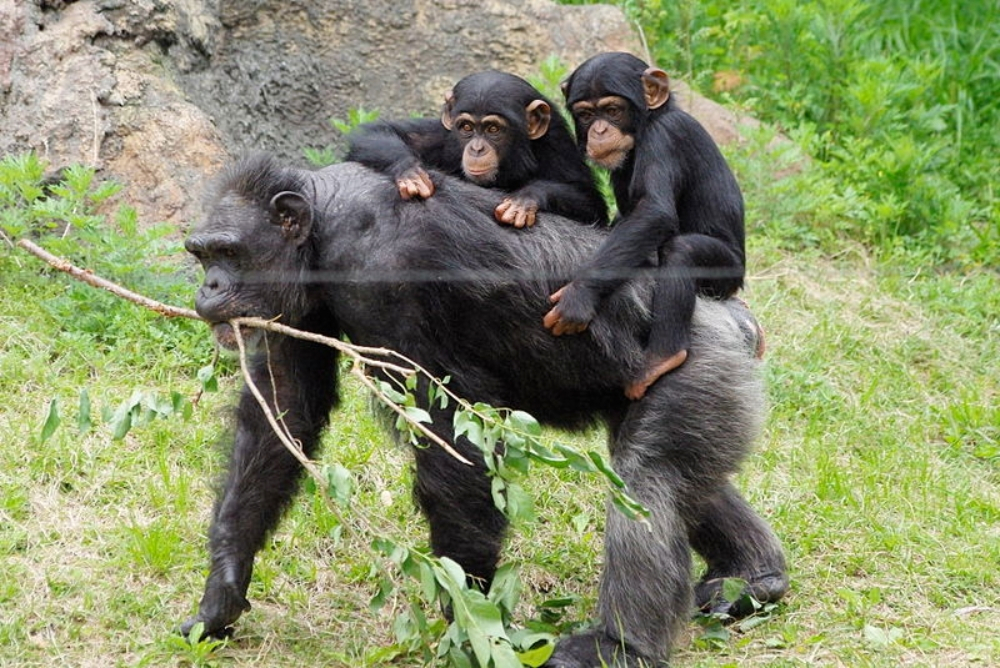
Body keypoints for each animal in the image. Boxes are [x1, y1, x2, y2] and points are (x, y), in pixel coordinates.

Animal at [182, 154, 788, 664]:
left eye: (229, 253)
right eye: (203, 254)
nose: (208, 286)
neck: (325, 230)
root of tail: (735, 318)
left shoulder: (392, 280)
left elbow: (453, 439)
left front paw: (469, 613)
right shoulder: (294, 314)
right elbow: (283, 409)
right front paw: (223, 590)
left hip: (695, 364)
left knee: (648, 482)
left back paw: (620, 644)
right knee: (683, 478)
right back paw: (754, 577)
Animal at [344, 70, 608, 227]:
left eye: (493, 129)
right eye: (467, 127)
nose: (477, 149)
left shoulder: (556, 143)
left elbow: (590, 202)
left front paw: (525, 199)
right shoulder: (444, 137)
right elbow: (381, 132)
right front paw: (410, 172)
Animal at [548, 52, 752, 400]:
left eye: (612, 110)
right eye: (586, 114)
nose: (599, 130)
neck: (650, 123)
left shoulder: (666, 138)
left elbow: (654, 212)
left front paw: (579, 295)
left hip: (726, 274)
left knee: (682, 251)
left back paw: (661, 358)